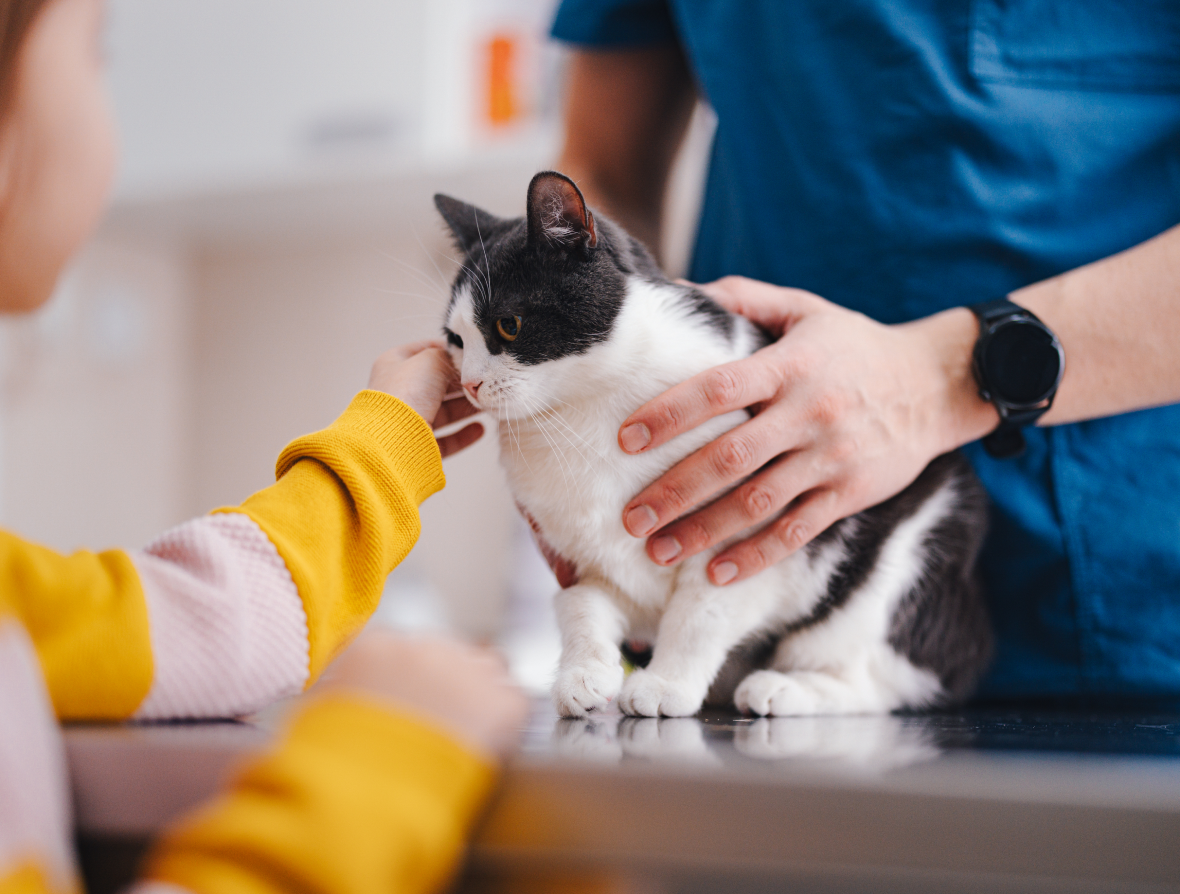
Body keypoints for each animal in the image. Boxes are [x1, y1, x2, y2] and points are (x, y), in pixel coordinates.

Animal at [434, 173, 986, 721]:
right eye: (455, 340)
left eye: (508, 325)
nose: (470, 384)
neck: (582, 413)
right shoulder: (596, 564)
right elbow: (580, 605)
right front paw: (583, 673)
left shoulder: (749, 541)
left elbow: (700, 613)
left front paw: (666, 685)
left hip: (899, 566)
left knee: (883, 680)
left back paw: (785, 689)